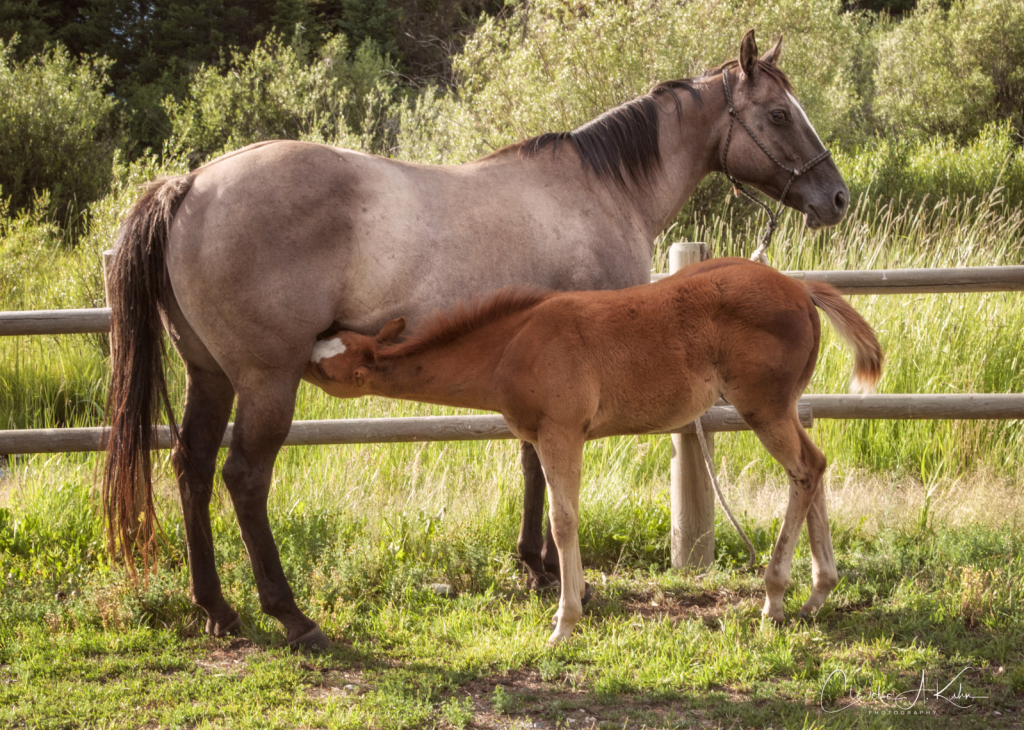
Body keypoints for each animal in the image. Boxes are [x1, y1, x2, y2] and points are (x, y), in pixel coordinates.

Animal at [305, 258, 880, 642]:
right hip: (785, 406)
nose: (298, 349)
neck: (511, 347)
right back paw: (818, 592)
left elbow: (562, 521)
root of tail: (800, 288)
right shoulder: (541, 436)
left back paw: (775, 598)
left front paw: (565, 621)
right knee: (816, 467)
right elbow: (559, 516)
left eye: (324, 365)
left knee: (803, 470)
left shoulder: (562, 432)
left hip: (763, 406)